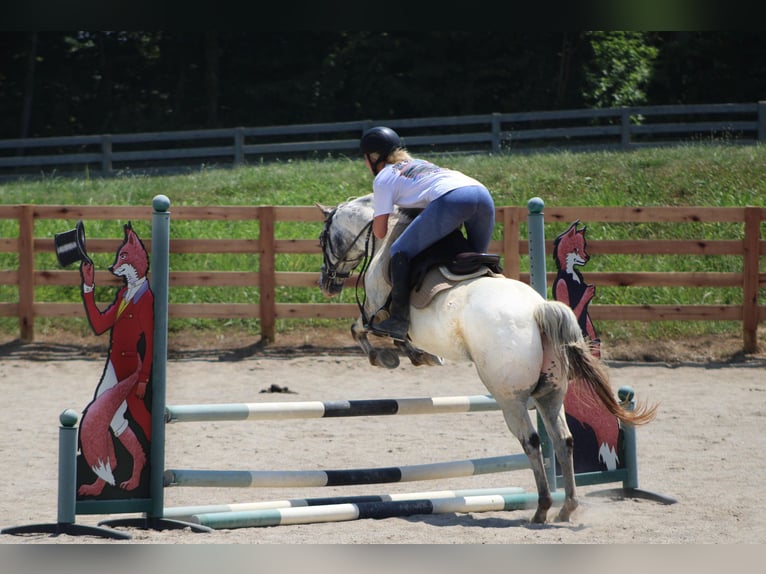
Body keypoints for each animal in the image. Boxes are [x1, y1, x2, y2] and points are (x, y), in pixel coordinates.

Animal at [77, 223, 154, 498]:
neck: (132, 288)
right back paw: (100, 486)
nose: (110, 268)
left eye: (124, 254)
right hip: (111, 389)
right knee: (116, 425)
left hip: (131, 393)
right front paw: (87, 276)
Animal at [318, 195, 660, 528]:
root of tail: (540, 309)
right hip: (551, 394)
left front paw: (390, 357)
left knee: (532, 441)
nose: (327, 284)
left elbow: (363, 329)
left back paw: (542, 508)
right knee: (563, 440)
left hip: (510, 397)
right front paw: (419, 356)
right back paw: (567, 508)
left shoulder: (377, 312)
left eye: (323, 239)